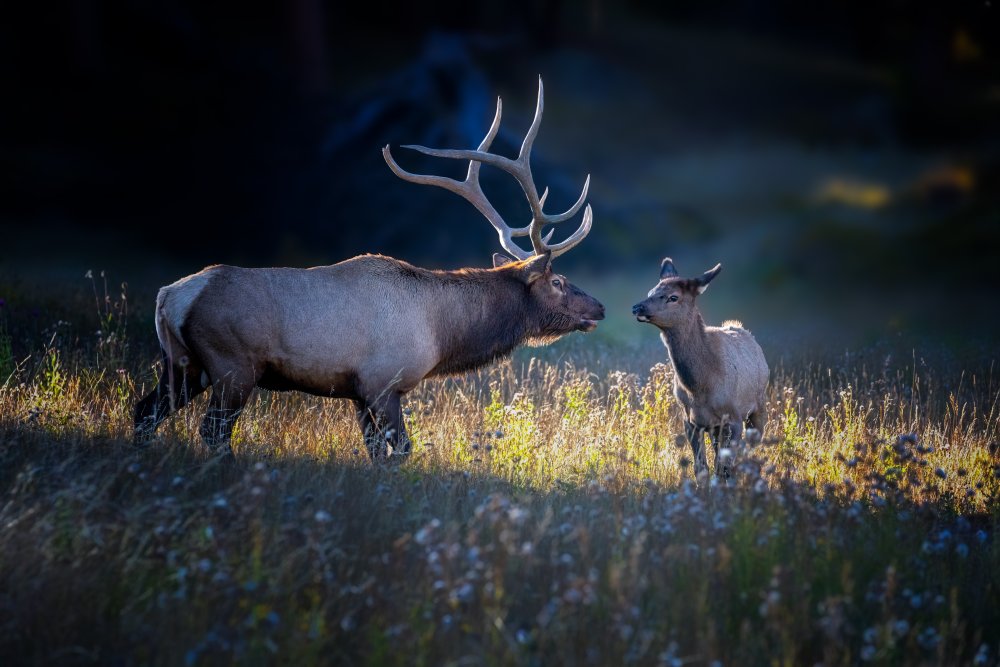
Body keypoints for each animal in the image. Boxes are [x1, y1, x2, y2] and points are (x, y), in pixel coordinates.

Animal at [132, 79, 600, 460]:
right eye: (558, 281)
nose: (599, 307)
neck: (441, 331)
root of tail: (169, 297)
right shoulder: (382, 383)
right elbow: (401, 450)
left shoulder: (357, 393)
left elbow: (375, 452)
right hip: (232, 366)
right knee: (212, 432)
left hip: (184, 364)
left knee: (144, 412)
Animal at [636, 258, 768, 480]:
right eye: (650, 291)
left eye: (673, 297)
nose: (637, 307)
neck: (701, 386)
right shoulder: (690, 420)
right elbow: (702, 469)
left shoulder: (734, 418)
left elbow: (724, 470)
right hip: (716, 428)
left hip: (758, 408)